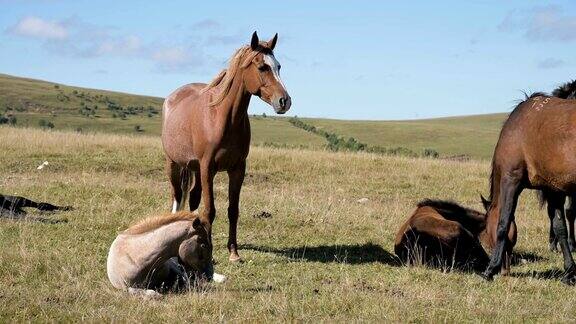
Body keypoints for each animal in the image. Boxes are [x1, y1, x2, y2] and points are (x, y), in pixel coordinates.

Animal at [160, 31, 290, 262]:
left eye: (279, 66)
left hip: (195, 168)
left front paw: (233, 253)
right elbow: (210, 210)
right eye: (262, 67)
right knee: (177, 196)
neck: (222, 117)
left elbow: (233, 210)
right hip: (174, 164)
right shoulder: (208, 168)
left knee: (193, 198)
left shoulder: (237, 169)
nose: (284, 101)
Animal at [482, 88, 576, 284]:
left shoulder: (511, 180)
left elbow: (503, 223)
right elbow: (559, 228)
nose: (505, 270)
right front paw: (569, 271)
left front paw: (490, 269)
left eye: (486, 231)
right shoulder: (554, 189)